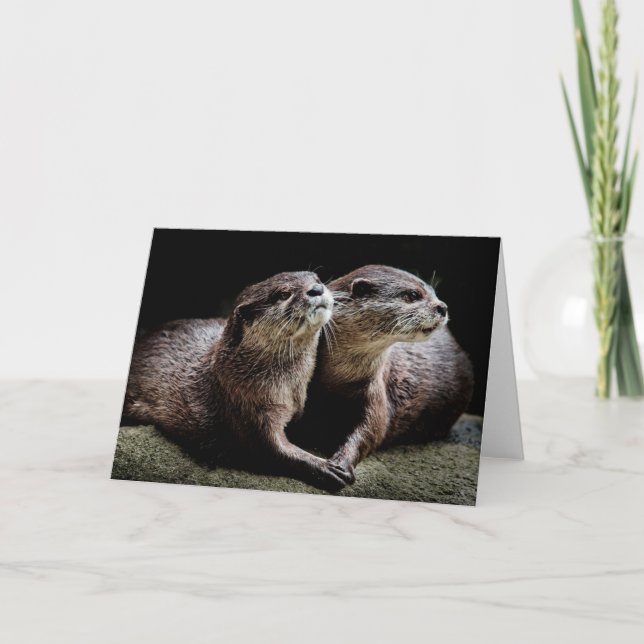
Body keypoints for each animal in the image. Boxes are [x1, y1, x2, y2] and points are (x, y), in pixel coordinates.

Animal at [122, 271, 354, 490]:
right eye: (283, 294)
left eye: (317, 279)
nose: (316, 288)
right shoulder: (246, 406)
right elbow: (271, 450)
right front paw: (325, 467)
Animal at [292, 265, 473, 483]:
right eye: (413, 295)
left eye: (434, 292)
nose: (443, 307)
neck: (337, 380)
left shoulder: (376, 390)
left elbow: (372, 430)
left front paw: (342, 463)